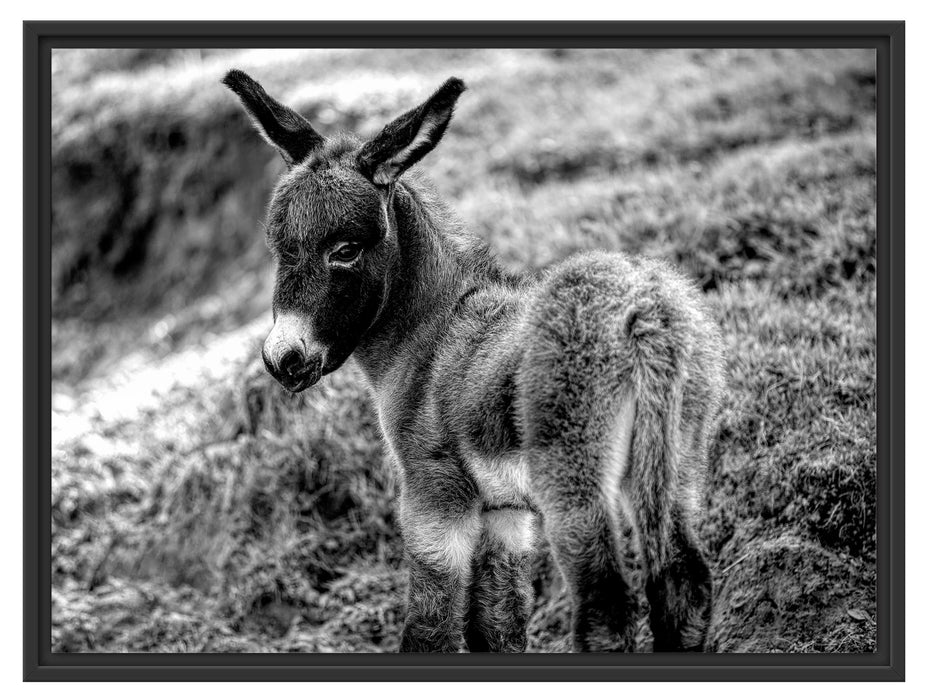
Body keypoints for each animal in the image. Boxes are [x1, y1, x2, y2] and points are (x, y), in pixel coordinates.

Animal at [226, 69, 728, 652]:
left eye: (345, 250)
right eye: (277, 248)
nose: (283, 359)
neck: (430, 334)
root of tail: (643, 310)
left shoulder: (433, 497)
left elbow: (431, 626)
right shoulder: (505, 513)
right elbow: (497, 623)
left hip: (575, 485)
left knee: (606, 610)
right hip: (674, 467)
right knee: (684, 586)